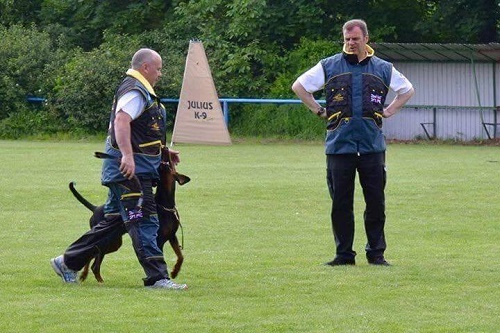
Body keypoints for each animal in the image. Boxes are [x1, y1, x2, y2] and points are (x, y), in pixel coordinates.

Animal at [68, 147, 189, 282]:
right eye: (168, 164)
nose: (166, 148)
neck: (166, 204)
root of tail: (95, 208)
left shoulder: (172, 236)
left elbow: (180, 255)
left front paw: (175, 271)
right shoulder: (158, 240)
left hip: (114, 243)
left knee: (91, 254)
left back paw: (85, 275)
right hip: (108, 241)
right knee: (94, 262)